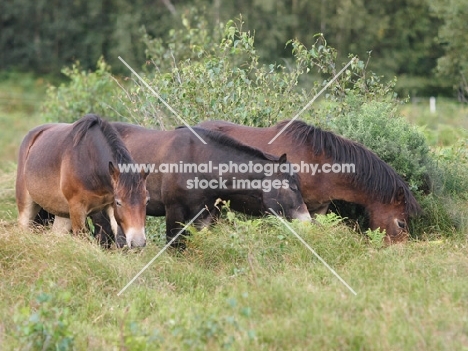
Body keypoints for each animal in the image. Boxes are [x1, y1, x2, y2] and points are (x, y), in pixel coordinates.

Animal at [16, 115, 149, 248]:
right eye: (119, 202)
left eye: (147, 201)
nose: (138, 243)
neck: (91, 162)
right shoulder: (77, 209)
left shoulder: (110, 207)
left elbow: (120, 240)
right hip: (26, 206)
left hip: (63, 215)